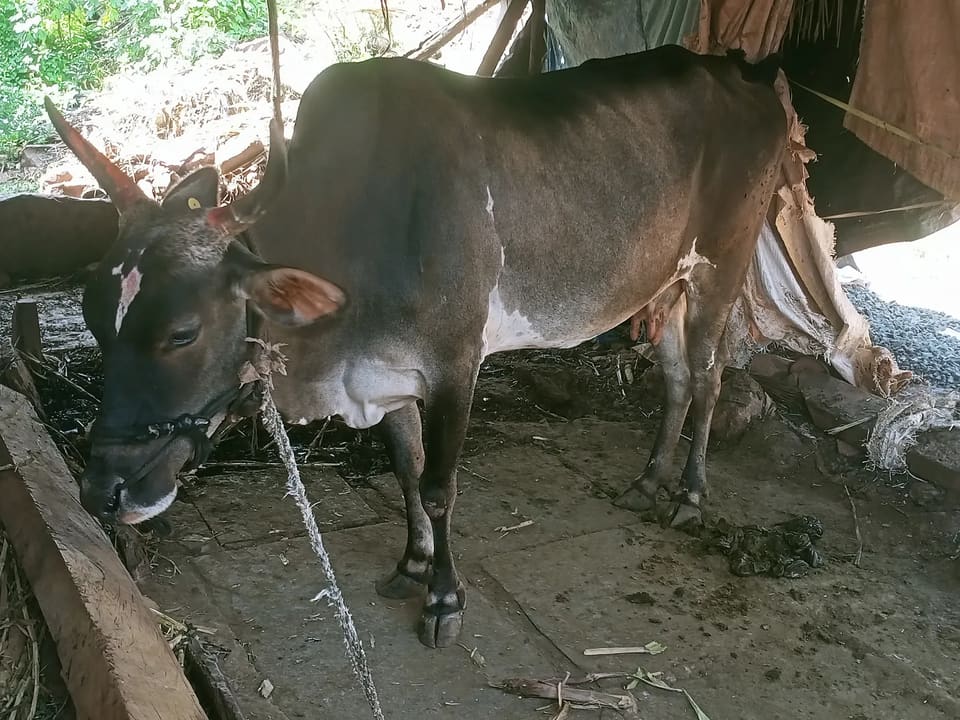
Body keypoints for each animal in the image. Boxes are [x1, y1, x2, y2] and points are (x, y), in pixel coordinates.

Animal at [45, 44, 787, 648]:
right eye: (91, 316)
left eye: (182, 332)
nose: (101, 491)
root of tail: (747, 77)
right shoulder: (383, 377)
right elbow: (406, 466)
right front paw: (412, 564)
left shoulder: (456, 364)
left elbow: (437, 488)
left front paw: (444, 600)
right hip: (670, 282)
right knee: (678, 379)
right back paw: (648, 480)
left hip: (722, 268)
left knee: (709, 377)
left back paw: (689, 495)